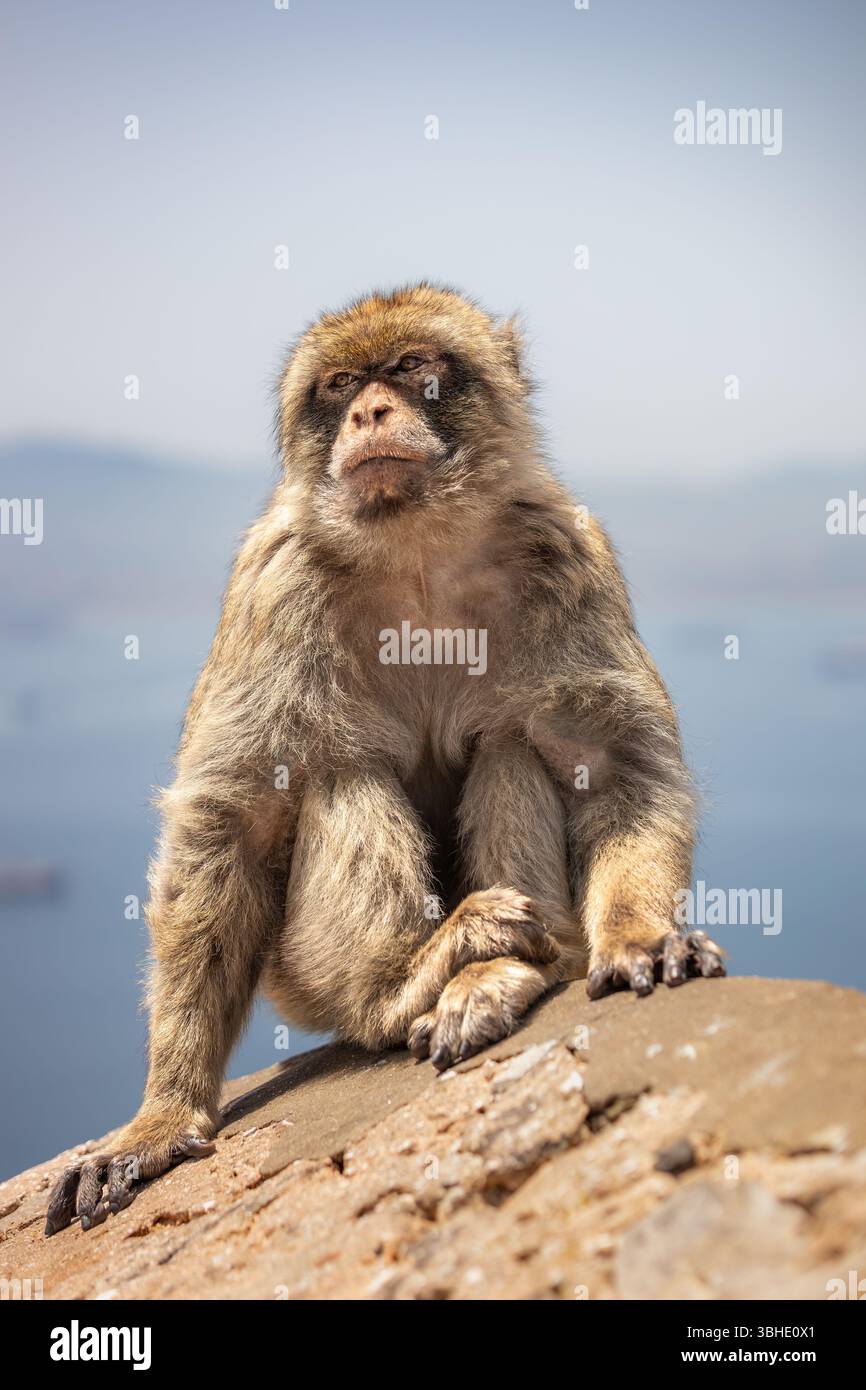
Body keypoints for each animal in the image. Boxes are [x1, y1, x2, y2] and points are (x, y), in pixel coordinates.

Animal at [45, 283, 725, 1236]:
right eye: (339, 385)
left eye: (411, 367)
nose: (370, 409)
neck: (420, 550)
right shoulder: (271, 582)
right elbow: (235, 821)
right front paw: (162, 1115)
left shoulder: (571, 552)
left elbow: (615, 763)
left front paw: (637, 937)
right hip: (305, 976)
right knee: (342, 776)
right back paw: (405, 981)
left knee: (510, 746)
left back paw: (501, 973)